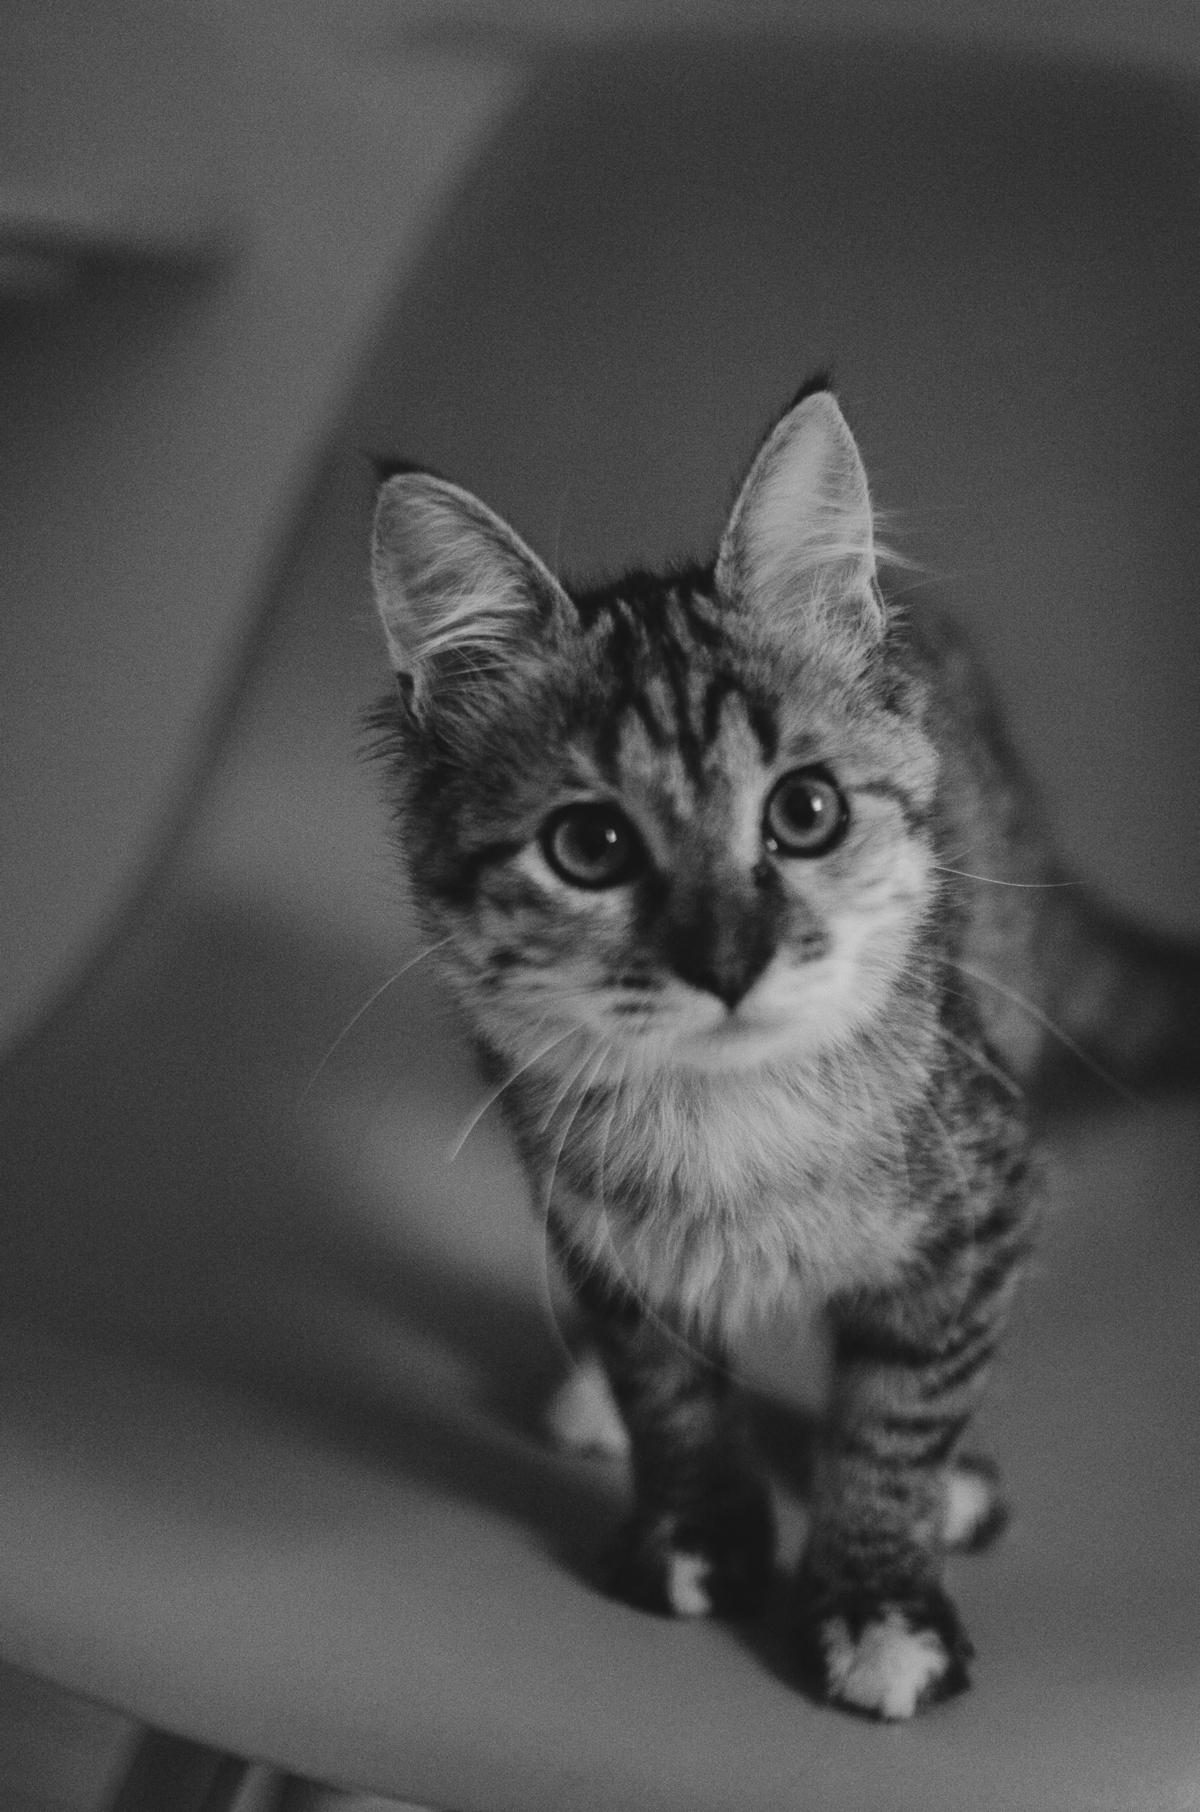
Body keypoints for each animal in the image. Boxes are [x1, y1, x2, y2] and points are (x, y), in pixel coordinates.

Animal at [367, 380, 1199, 1719]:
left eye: (806, 813)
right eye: (589, 847)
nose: (728, 961)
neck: (733, 1120)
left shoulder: (992, 1190)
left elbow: (896, 1415)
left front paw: (878, 1597)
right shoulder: (587, 1211)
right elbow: (668, 1383)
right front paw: (700, 1532)